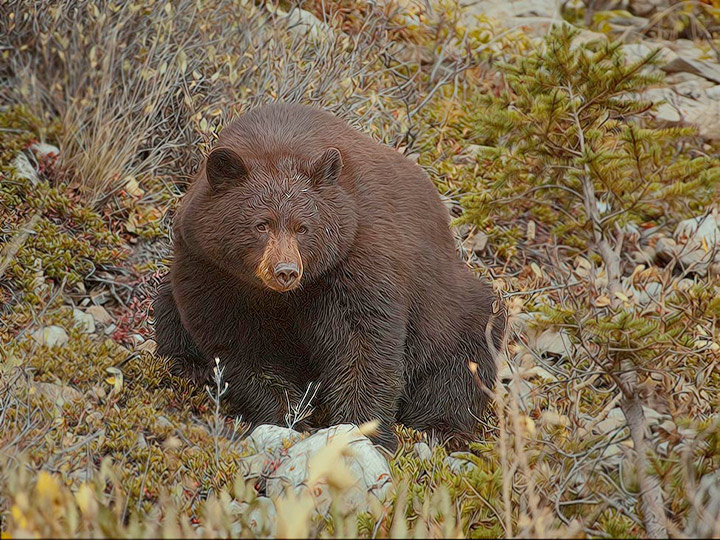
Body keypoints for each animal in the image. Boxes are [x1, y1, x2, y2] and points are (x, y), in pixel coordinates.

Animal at [153, 103, 506, 451]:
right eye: (261, 224)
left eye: (302, 227)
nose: (285, 271)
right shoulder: (209, 267)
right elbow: (239, 341)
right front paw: (288, 413)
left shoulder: (352, 254)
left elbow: (363, 339)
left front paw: (363, 429)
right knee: (166, 305)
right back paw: (188, 366)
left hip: (451, 311)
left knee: (461, 368)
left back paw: (440, 428)